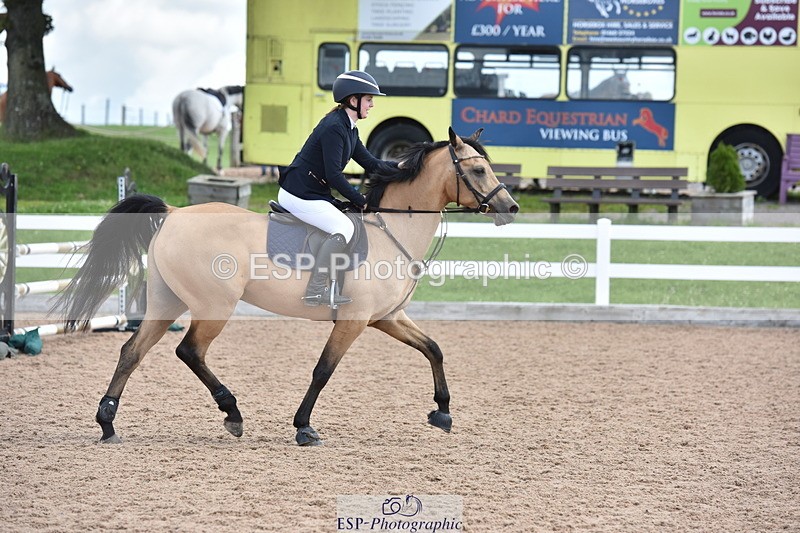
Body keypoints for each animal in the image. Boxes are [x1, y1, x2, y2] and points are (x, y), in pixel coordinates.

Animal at [53, 127, 519, 446]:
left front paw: (442, 413)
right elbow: (323, 370)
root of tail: (173, 212)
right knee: (189, 351)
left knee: (132, 352)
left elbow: (434, 349)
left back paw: (108, 423)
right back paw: (232, 413)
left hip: (167, 302)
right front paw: (304, 427)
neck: (392, 231)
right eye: (479, 169)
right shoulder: (353, 321)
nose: (510, 207)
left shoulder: (386, 318)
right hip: (214, 305)